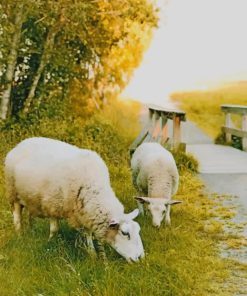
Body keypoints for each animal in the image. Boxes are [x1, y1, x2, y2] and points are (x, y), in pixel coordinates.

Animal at [4, 136, 145, 262]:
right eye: (125, 233)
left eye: (138, 230)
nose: (140, 258)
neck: (92, 187)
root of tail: (22, 143)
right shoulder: (52, 205)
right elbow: (54, 229)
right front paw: (50, 243)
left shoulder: (85, 212)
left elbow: (88, 233)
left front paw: (92, 253)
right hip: (13, 193)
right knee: (17, 217)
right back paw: (20, 235)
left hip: (30, 198)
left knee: (30, 215)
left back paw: (31, 231)